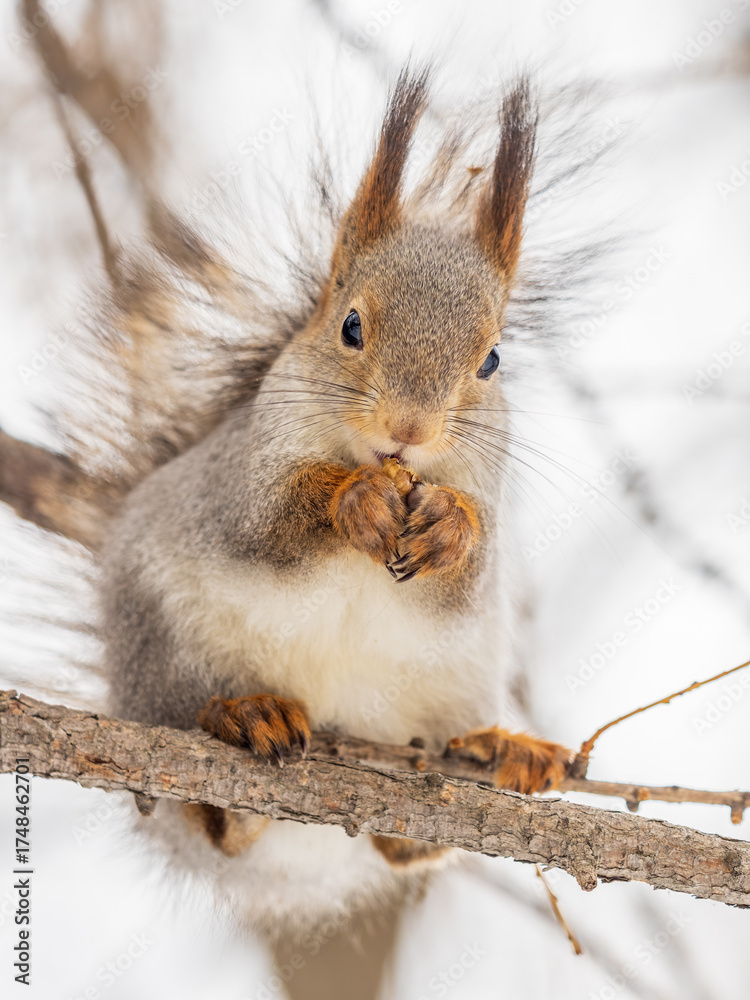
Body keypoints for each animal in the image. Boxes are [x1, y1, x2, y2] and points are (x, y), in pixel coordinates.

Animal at [99, 69, 573, 934]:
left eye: (492, 359)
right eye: (350, 326)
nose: (408, 431)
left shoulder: (487, 496)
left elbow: (470, 569)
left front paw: (448, 527)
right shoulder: (242, 476)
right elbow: (267, 519)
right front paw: (355, 500)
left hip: (450, 687)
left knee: (405, 844)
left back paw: (498, 750)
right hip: (162, 652)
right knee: (203, 807)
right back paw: (245, 724)